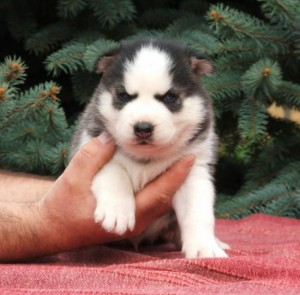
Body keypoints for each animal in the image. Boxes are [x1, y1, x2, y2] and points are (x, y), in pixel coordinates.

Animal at [70, 39, 229, 260]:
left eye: (169, 97)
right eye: (124, 95)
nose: (143, 128)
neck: (146, 158)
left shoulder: (194, 170)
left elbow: (198, 212)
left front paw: (203, 247)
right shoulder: (92, 144)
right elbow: (116, 172)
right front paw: (117, 211)